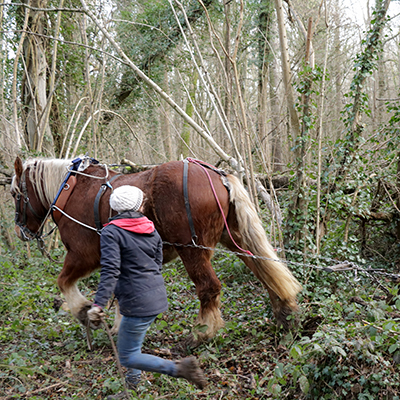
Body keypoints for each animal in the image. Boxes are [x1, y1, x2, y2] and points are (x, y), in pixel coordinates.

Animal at [10, 156, 302, 344]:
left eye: (14, 194)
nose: (20, 231)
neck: (70, 191)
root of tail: (217, 175)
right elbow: (121, 295)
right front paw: (118, 327)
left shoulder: (83, 256)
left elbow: (63, 282)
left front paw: (84, 312)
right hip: (234, 237)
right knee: (263, 267)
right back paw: (283, 312)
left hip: (192, 248)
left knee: (209, 287)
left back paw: (201, 333)